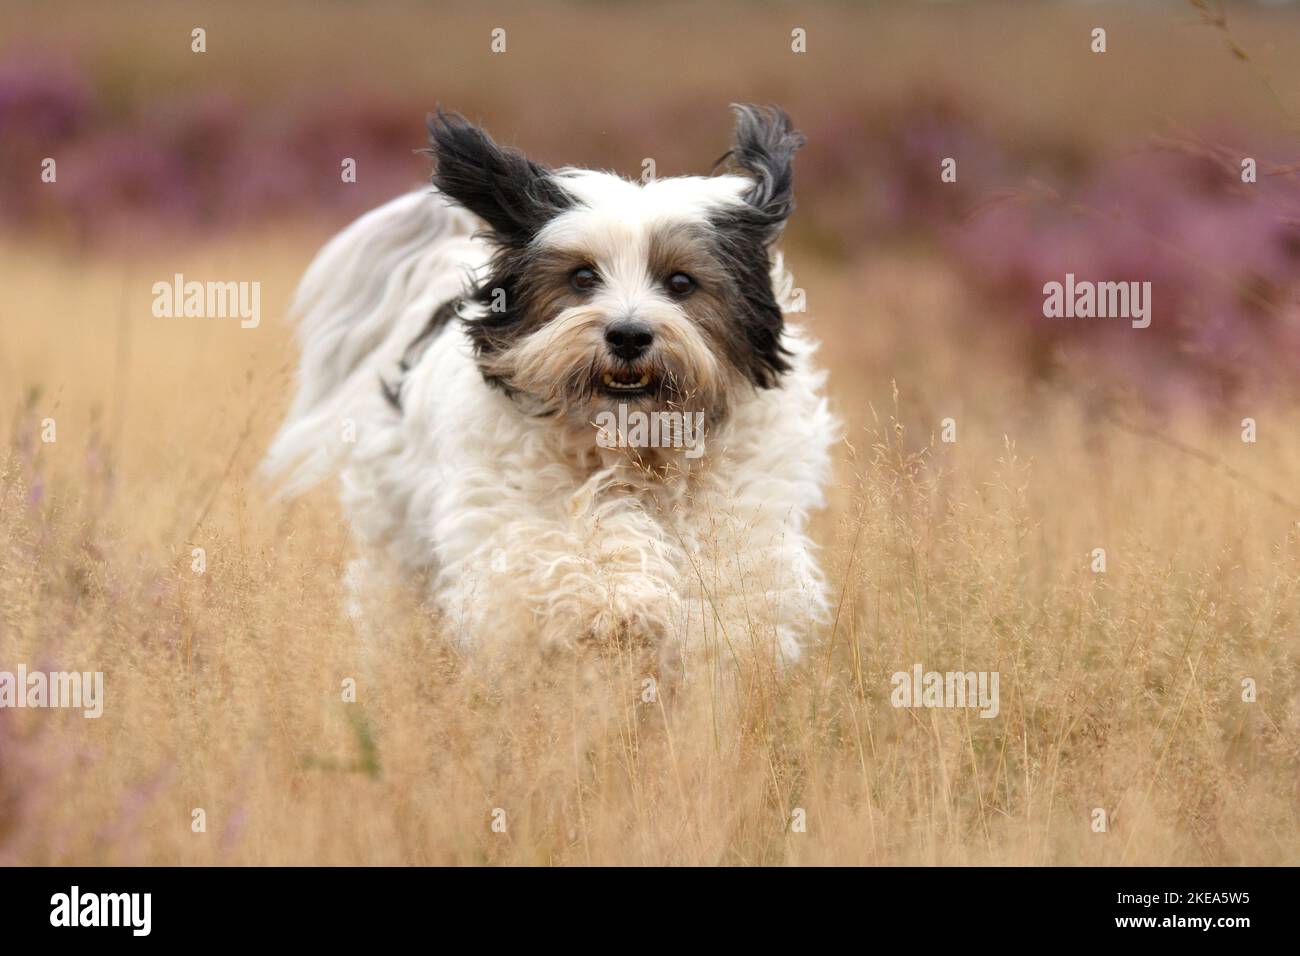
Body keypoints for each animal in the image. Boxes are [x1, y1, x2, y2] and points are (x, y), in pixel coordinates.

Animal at [261, 104, 842, 671]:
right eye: (582, 277)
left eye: (681, 282)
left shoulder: (745, 504)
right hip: (395, 531)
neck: (635, 447)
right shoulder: (511, 505)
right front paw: (616, 600)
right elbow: (571, 544)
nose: (628, 335)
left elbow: (726, 573)